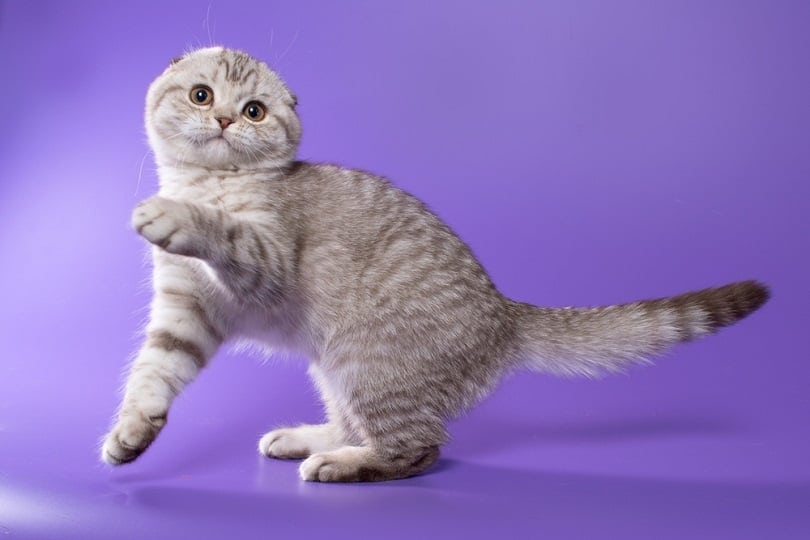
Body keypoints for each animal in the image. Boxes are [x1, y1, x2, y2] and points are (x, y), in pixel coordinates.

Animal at [99, 48, 764, 484]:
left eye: (256, 111)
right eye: (202, 95)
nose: (224, 120)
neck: (210, 181)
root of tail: (504, 312)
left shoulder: (268, 260)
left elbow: (224, 230)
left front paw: (175, 215)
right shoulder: (187, 312)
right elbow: (155, 370)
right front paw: (132, 433)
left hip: (366, 361)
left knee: (416, 450)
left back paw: (340, 463)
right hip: (335, 367)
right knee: (356, 423)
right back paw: (307, 438)